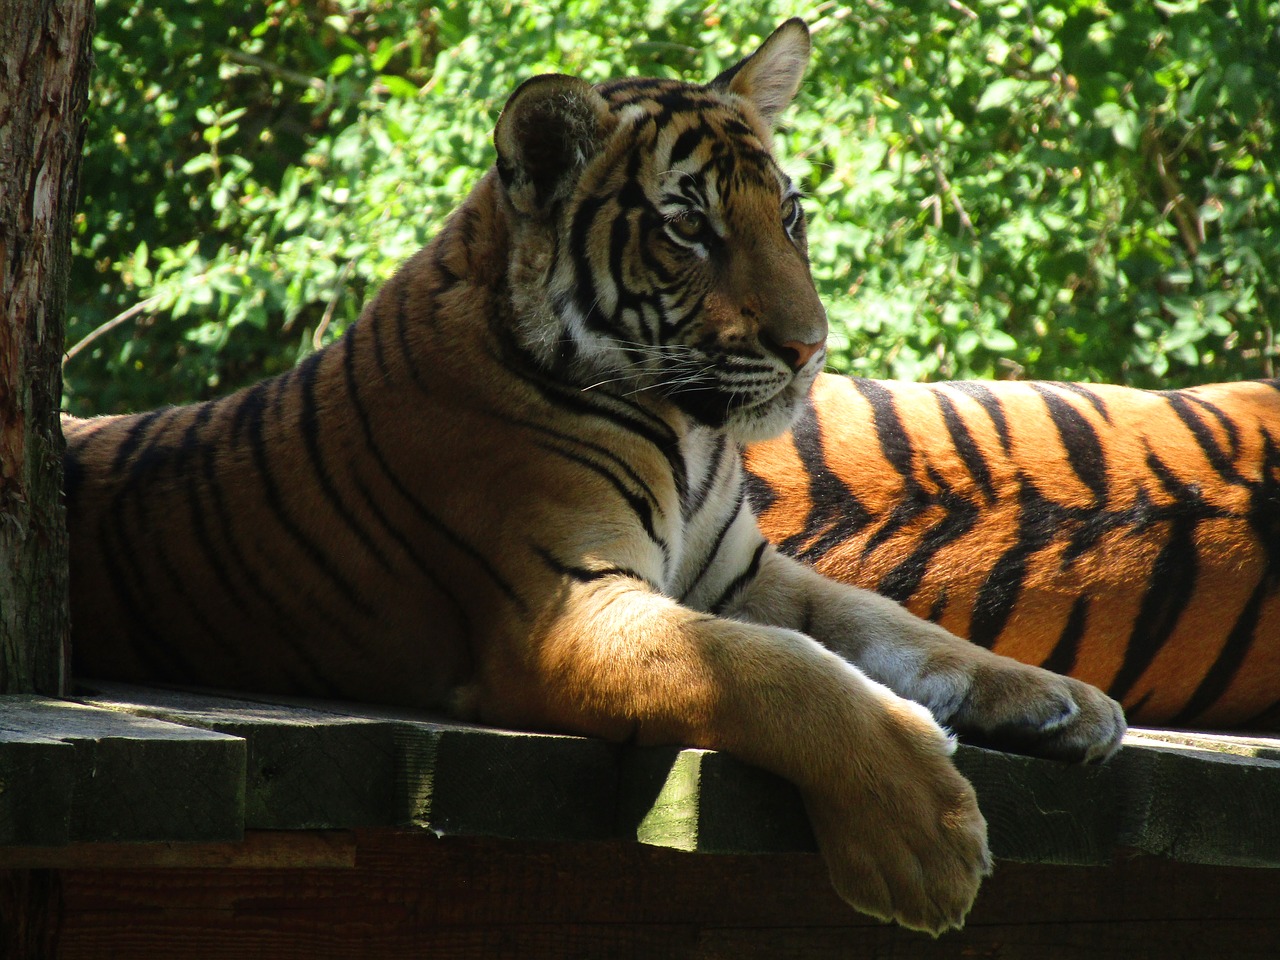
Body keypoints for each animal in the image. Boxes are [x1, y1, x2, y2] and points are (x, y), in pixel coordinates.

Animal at [62, 22, 1121, 936]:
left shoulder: (744, 573)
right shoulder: (561, 610)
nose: (810, 348)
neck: (690, 436)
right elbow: (776, 670)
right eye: (688, 228)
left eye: (787, 215)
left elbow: (891, 625)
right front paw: (925, 841)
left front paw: (1062, 699)